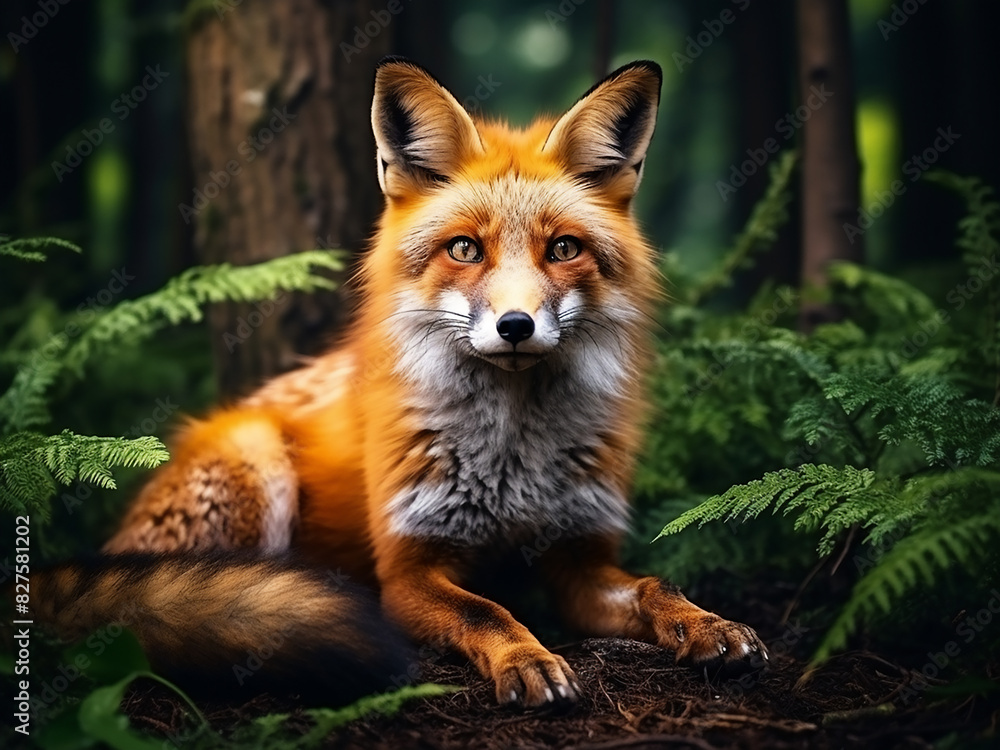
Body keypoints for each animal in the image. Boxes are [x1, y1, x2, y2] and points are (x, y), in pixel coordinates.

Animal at [30, 58, 767, 709]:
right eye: (465, 249)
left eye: (563, 249)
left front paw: (709, 624)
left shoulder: (578, 562)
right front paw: (527, 659)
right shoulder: (410, 570)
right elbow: (489, 613)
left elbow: (655, 587)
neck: (513, 461)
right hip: (255, 461)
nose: (517, 326)